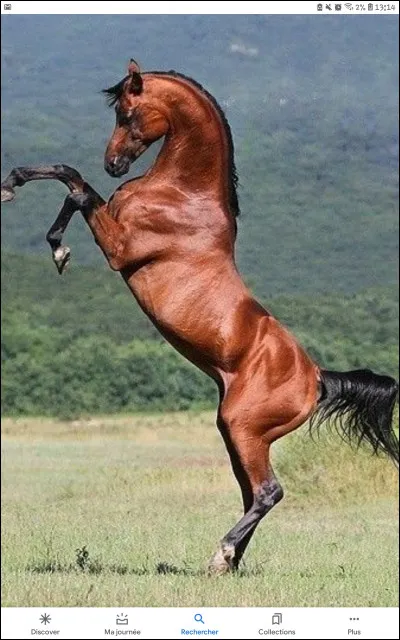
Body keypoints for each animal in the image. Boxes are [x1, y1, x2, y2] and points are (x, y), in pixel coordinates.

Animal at [1, 60, 398, 575]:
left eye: (127, 114)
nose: (114, 164)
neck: (183, 194)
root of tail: (316, 377)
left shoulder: (118, 247)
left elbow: (76, 185)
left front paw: (52, 241)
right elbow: (71, 182)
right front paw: (19, 192)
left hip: (243, 429)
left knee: (269, 492)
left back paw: (220, 555)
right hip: (238, 436)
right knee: (254, 494)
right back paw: (229, 563)